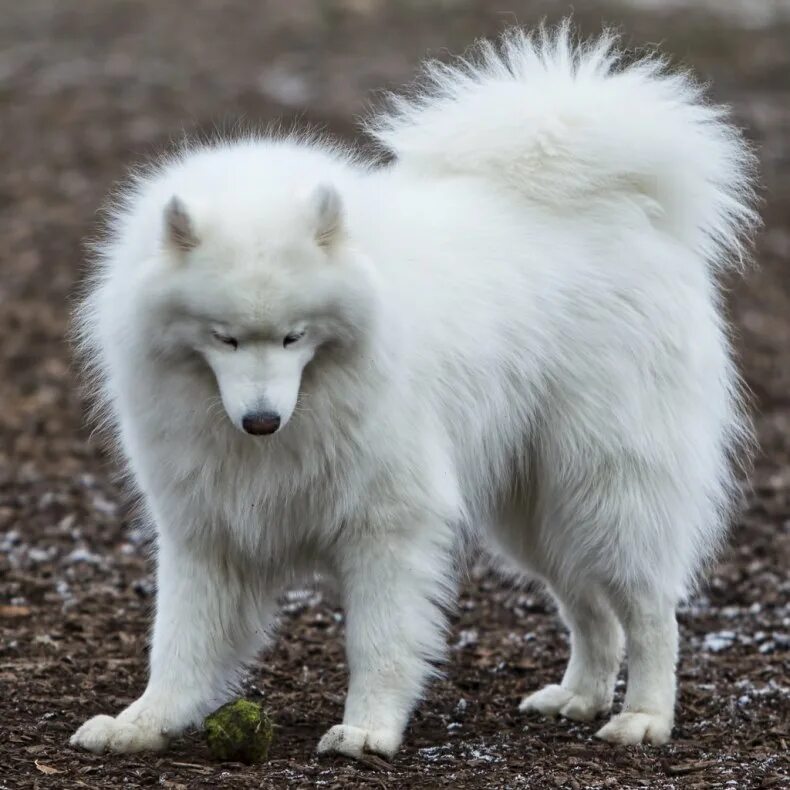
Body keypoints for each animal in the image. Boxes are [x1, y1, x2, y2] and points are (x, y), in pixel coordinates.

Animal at [71, 26, 756, 760]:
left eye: (293, 337)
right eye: (223, 339)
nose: (261, 422)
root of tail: (626, 206)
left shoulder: (388, 521)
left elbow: (378, 643)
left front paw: (367, 729)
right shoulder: (208, 529)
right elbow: (180, 643)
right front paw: (143, 721)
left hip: (606, 488)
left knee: (651, 610)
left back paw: (645, 718)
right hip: (538, 509)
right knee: (590, 608)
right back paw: (579, 696)